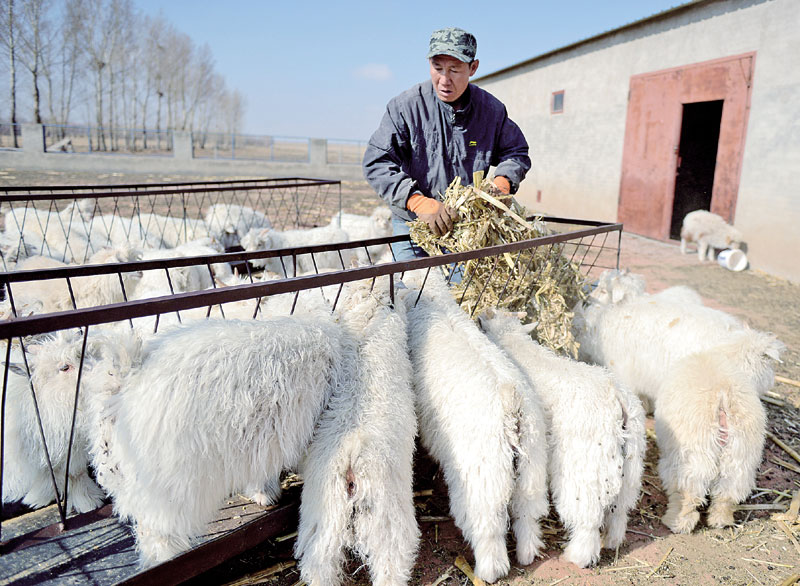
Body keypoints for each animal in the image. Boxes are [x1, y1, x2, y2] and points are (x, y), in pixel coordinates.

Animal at [404, 270, 548, 580]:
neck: (433, 301)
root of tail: (511, 405)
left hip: (483, 480)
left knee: (489, 528)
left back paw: (489, 571)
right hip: (531, 470)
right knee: (527, 514)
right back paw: (527, 554)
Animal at [478, 308, 648, 564]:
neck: (515, 342)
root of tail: (618, 399)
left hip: (586, 467)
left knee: (588, 518)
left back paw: (577, 556)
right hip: (631, 465)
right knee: (620, 508)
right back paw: (612, 541)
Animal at [656, 326, 780, 532]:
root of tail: (723, 397)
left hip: (692, 456)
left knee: (689, 493)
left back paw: (677, 522)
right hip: (740, 457)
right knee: (727, 493)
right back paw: (720, 521)